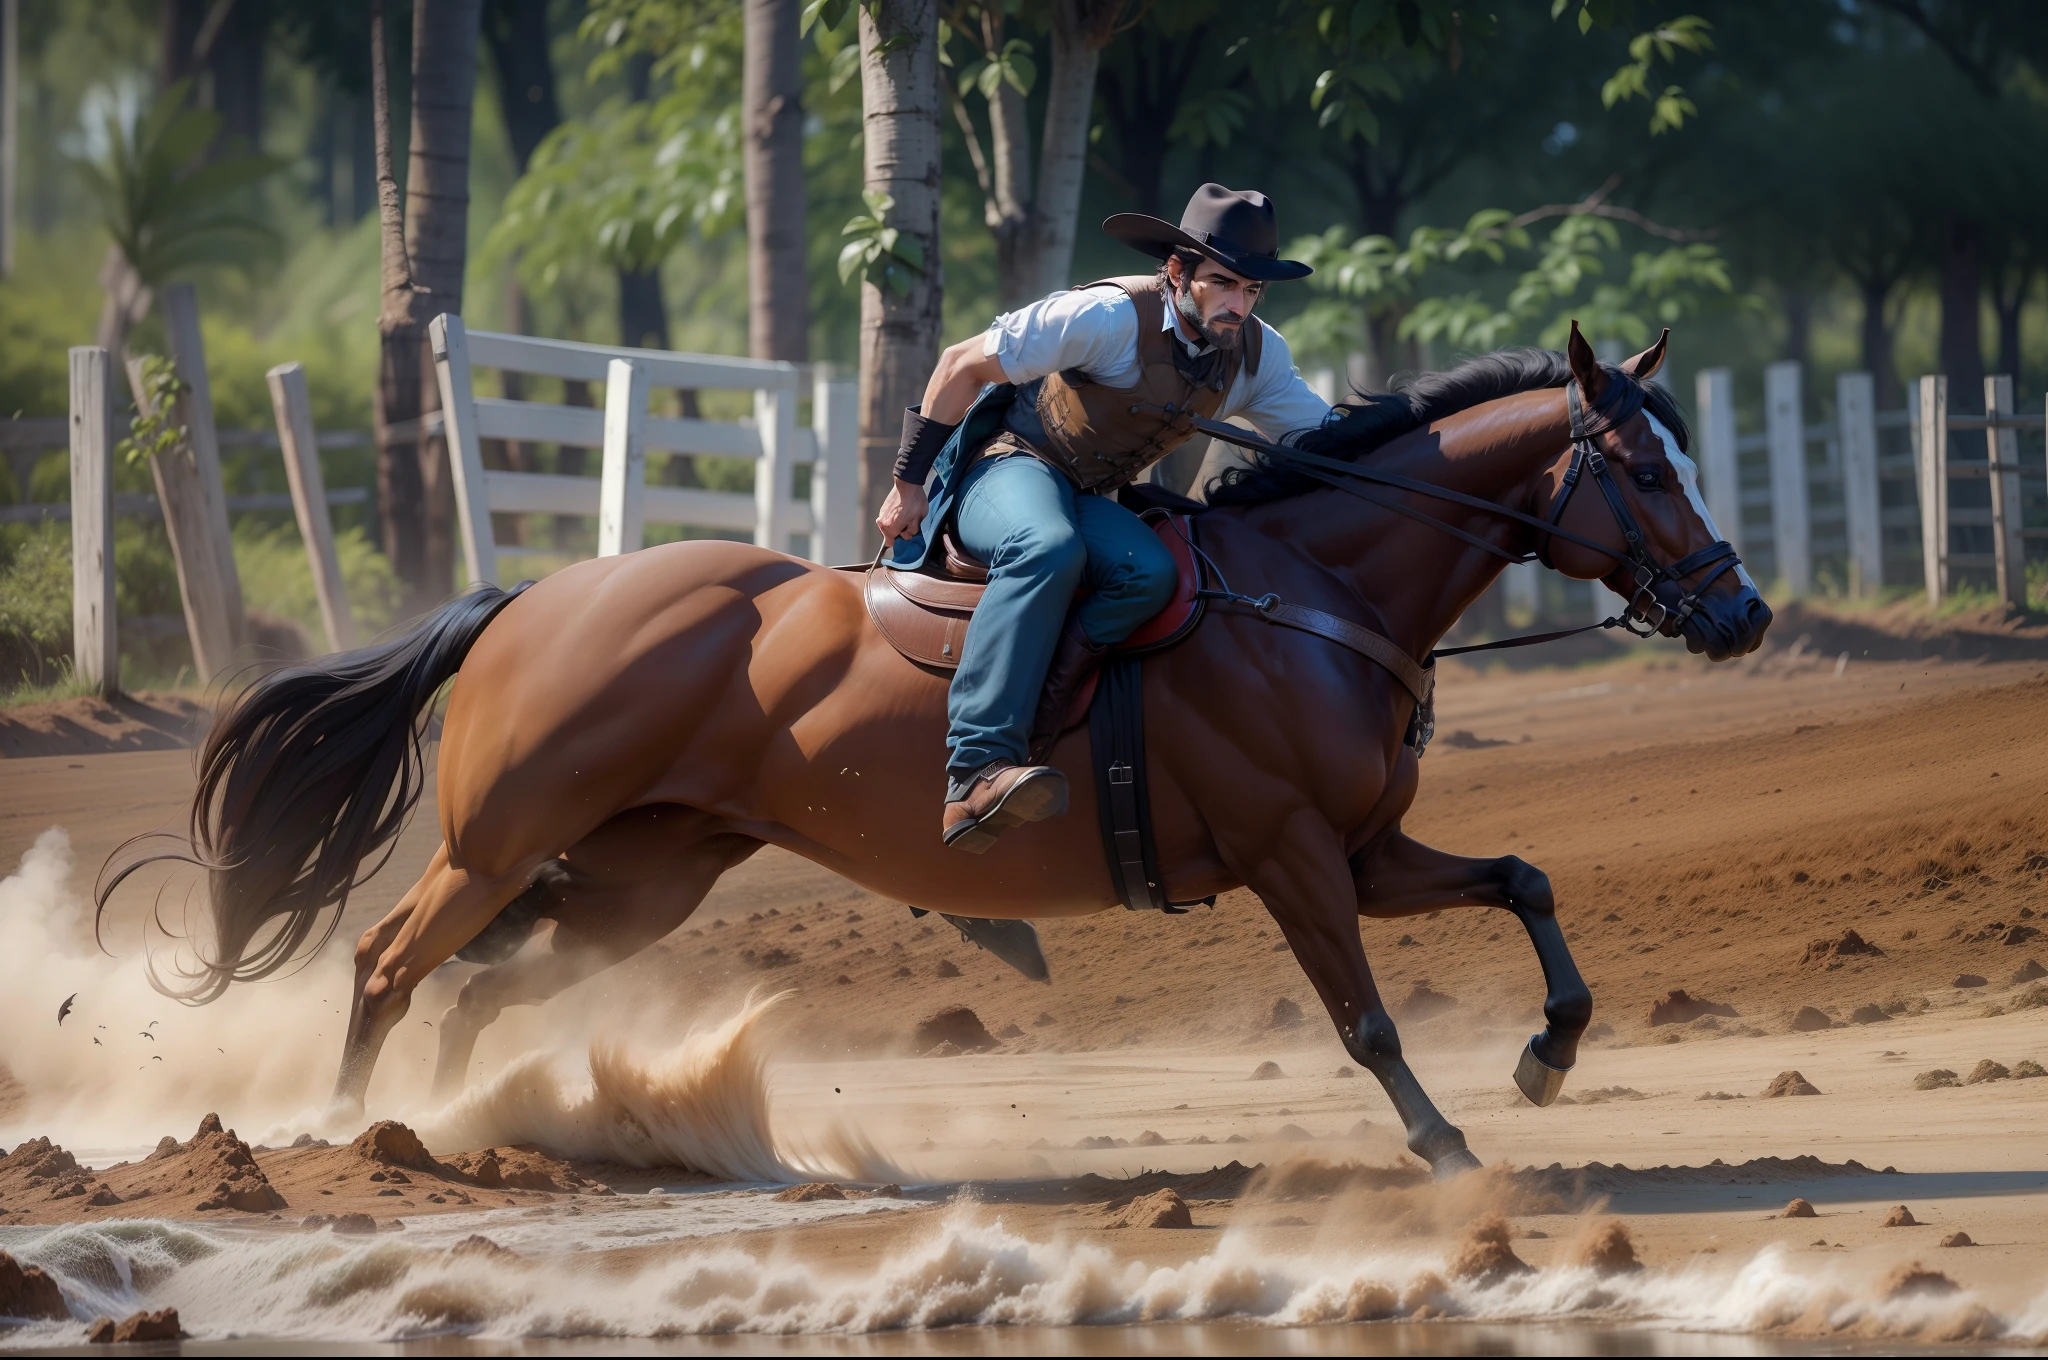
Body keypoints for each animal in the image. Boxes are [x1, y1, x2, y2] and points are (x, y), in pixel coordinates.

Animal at [123, 327, 1761, 1179]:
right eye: (1638, 461)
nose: (1740, 611)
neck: (1304, 592)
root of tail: (535, 593)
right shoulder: (1296, 855)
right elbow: (1364, 1022)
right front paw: (1448, 1153)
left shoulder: (1367, 848)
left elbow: (1525, 880)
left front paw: (1548, 1056)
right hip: (497, 841)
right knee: (389, 961)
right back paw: (356, 1134)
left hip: (637, 876)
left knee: (474, 988)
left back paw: (475, 1133)